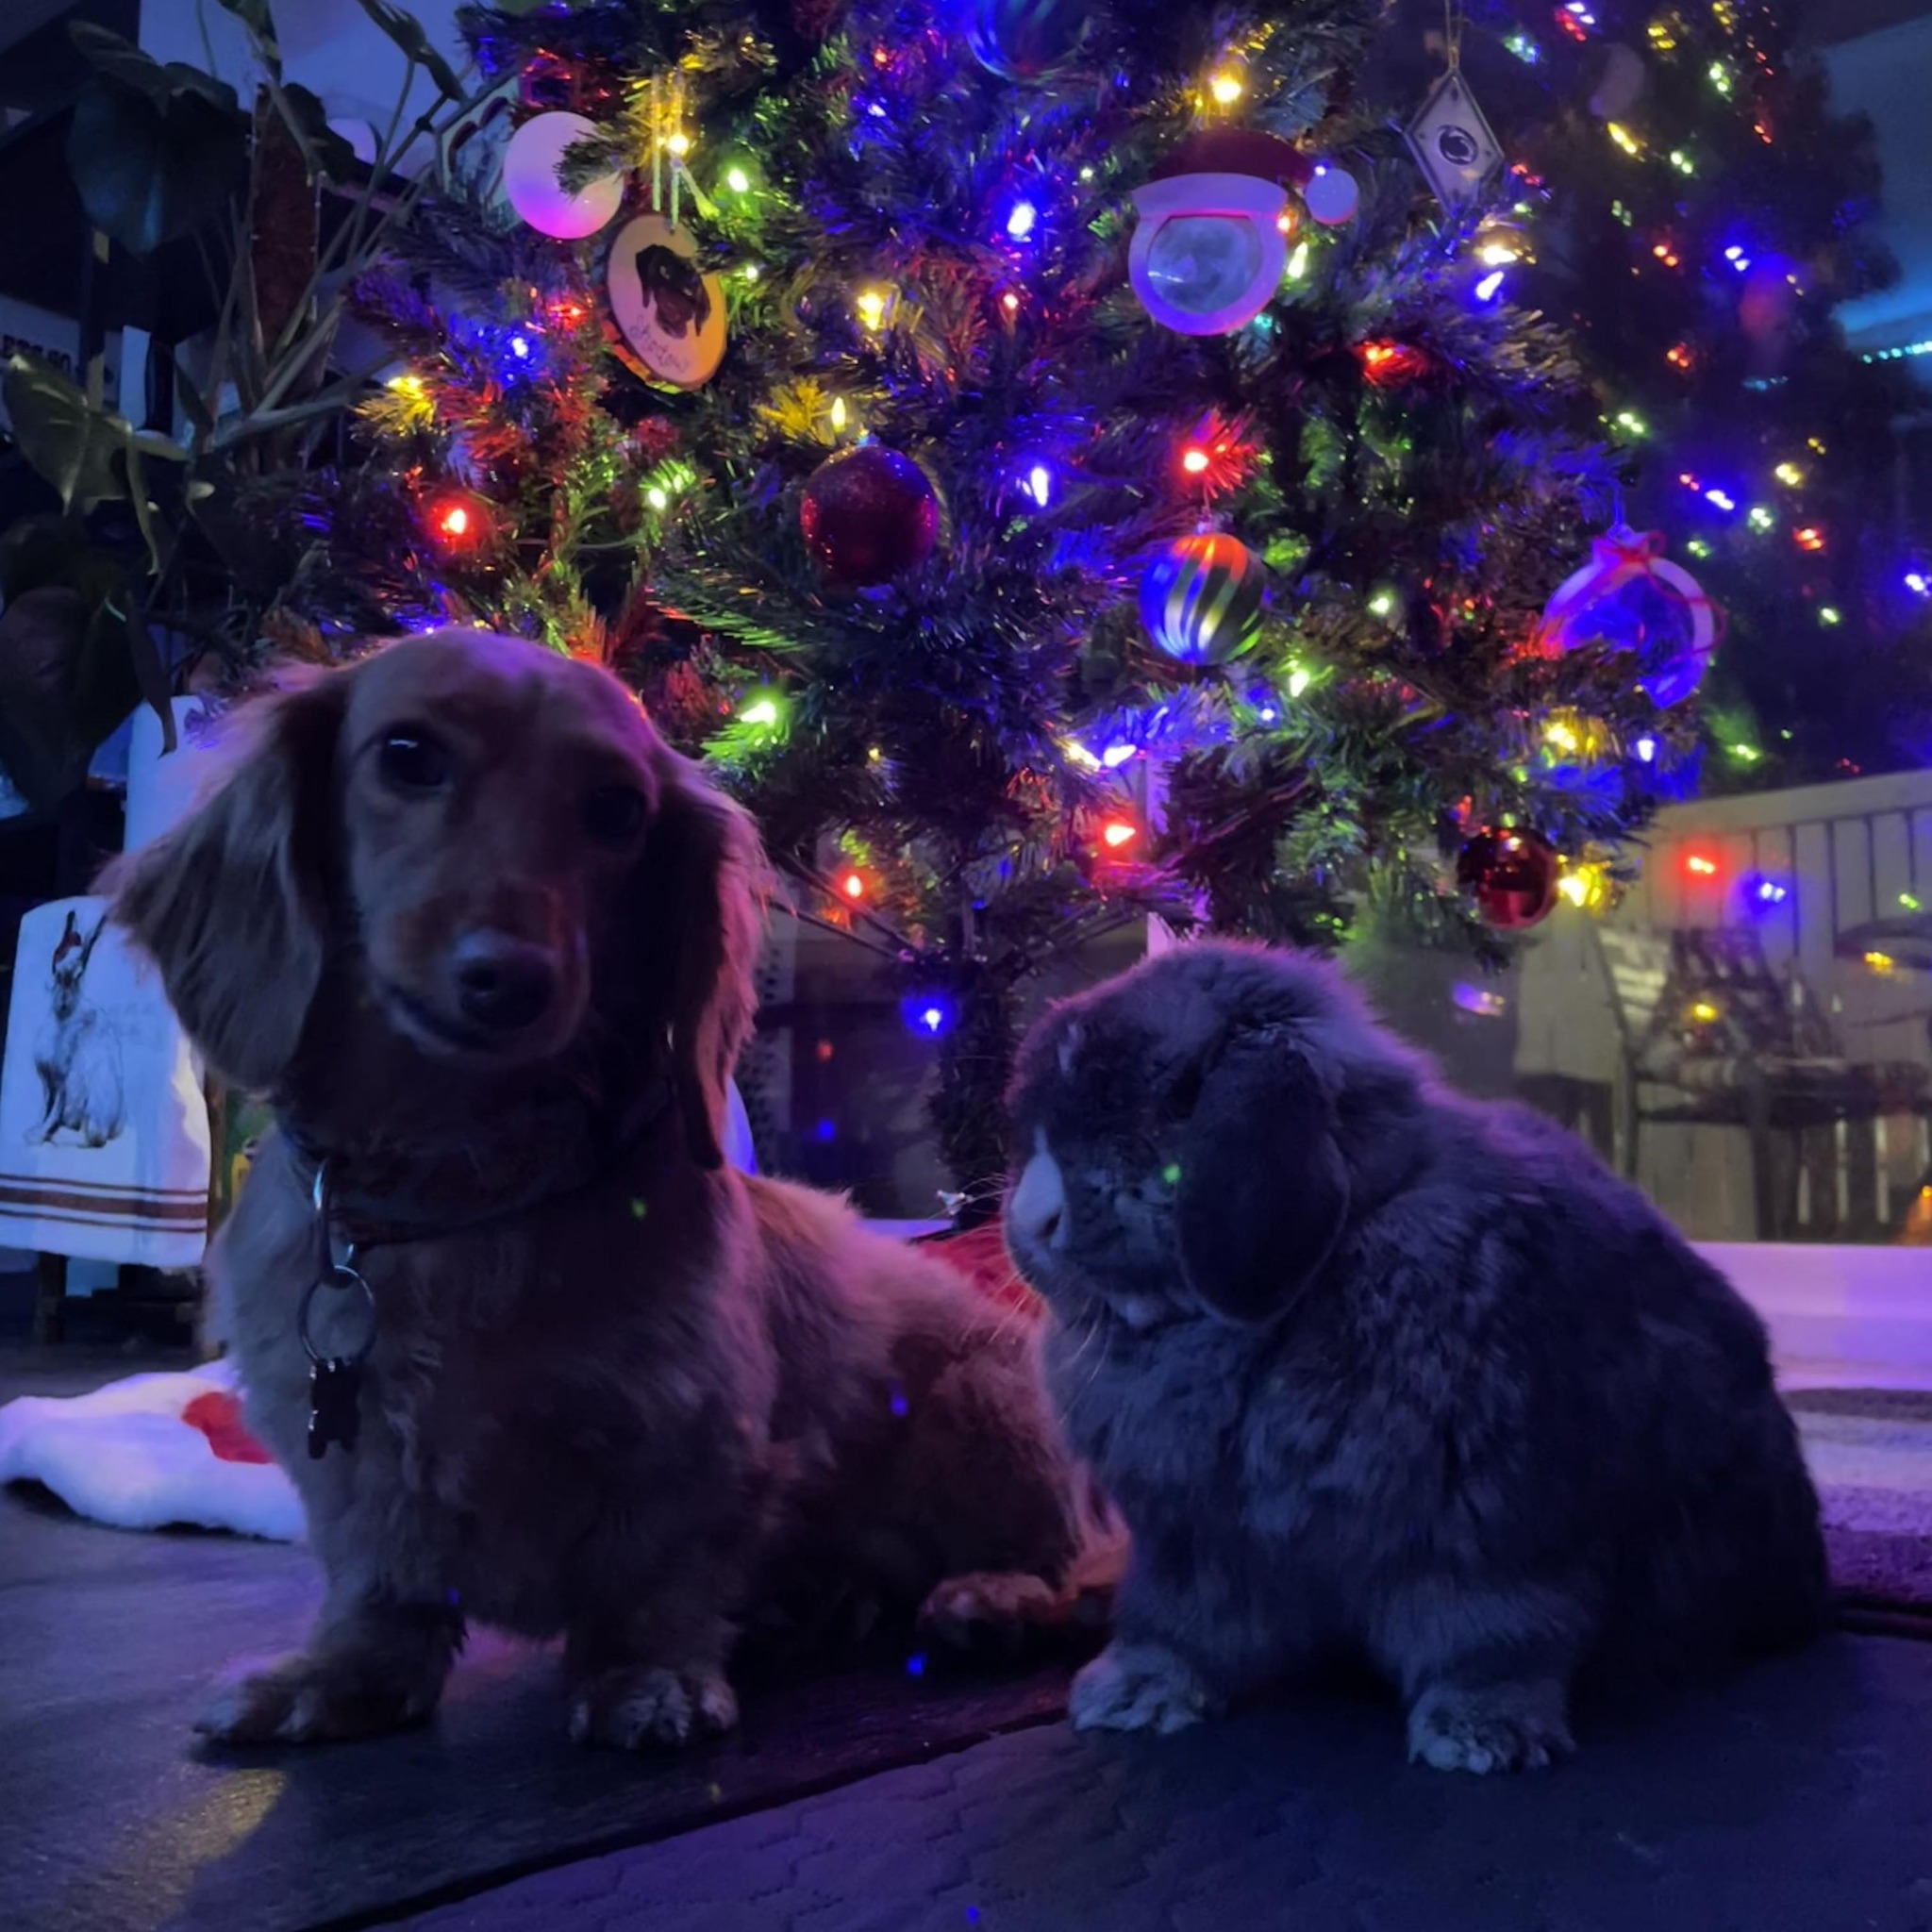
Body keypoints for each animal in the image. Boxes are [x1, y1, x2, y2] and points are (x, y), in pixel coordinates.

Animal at [31, 911, 126, 1149]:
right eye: (56, 972)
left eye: (79, 975)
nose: (63, 1004)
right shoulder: (47, 1082)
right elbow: (44, 1109)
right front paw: (35, 1130)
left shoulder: (62, 1082)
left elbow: (53, 1112)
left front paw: (35, 1136)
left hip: (95, 1095)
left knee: (93, 1138)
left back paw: (60, 1137)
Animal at [1002, 940, 1830, 1773]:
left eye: (1180, 1099)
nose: (1032, 1222)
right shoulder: (1189, 1547)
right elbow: (1172, 1629)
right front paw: (1127, 1697)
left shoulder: (1494, 1538)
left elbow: (1496, 1638)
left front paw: (1482, 1739)